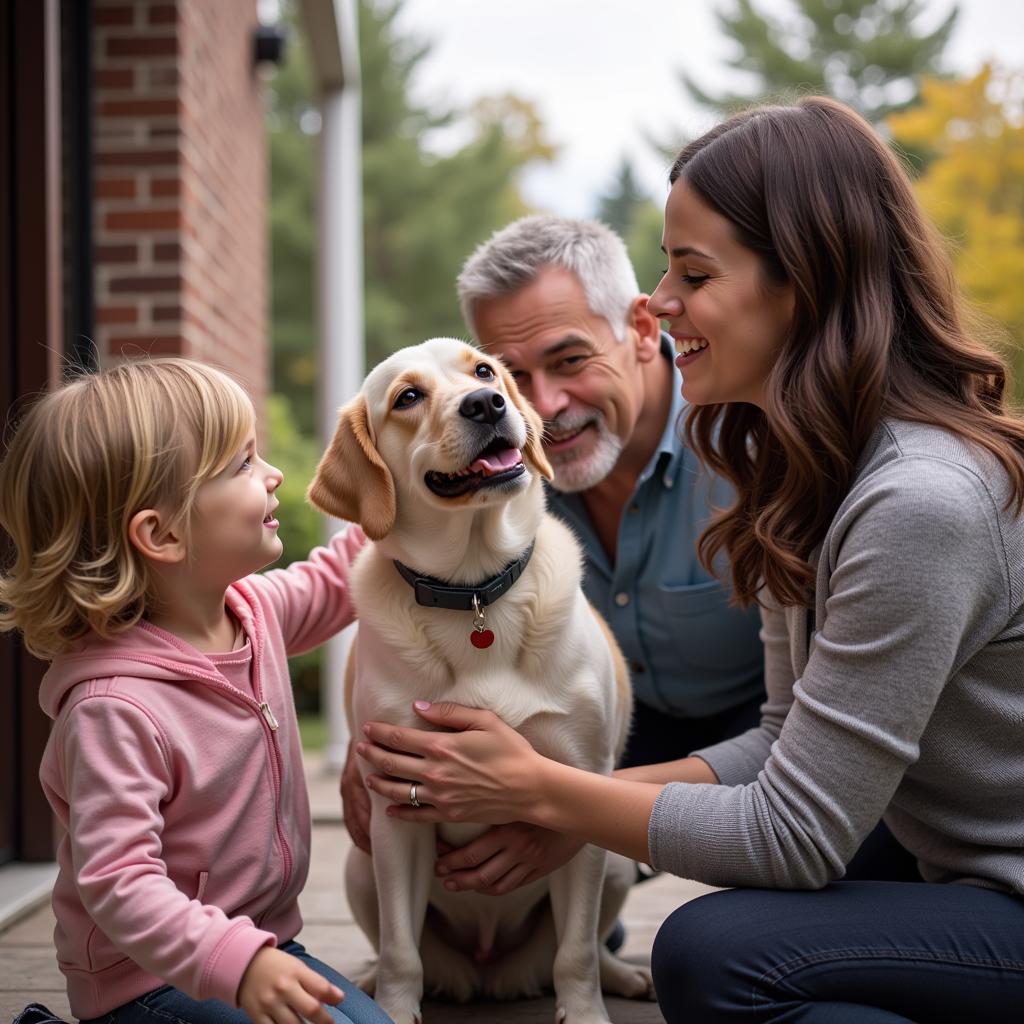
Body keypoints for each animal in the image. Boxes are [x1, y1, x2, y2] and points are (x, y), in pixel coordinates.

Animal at [307, 337, 651, 1024]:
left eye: (483, 370)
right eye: (407, 397)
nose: (486, 403)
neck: (473, 590)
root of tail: (491, 973)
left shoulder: (582, 787)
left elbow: (575, 952)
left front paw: (586, 1012)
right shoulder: (396, 809)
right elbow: (401, 950)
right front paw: (393, 1006)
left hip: (618, 864)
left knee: (587, 948)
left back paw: (623, 976)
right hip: (361, 862)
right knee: (394, 947)